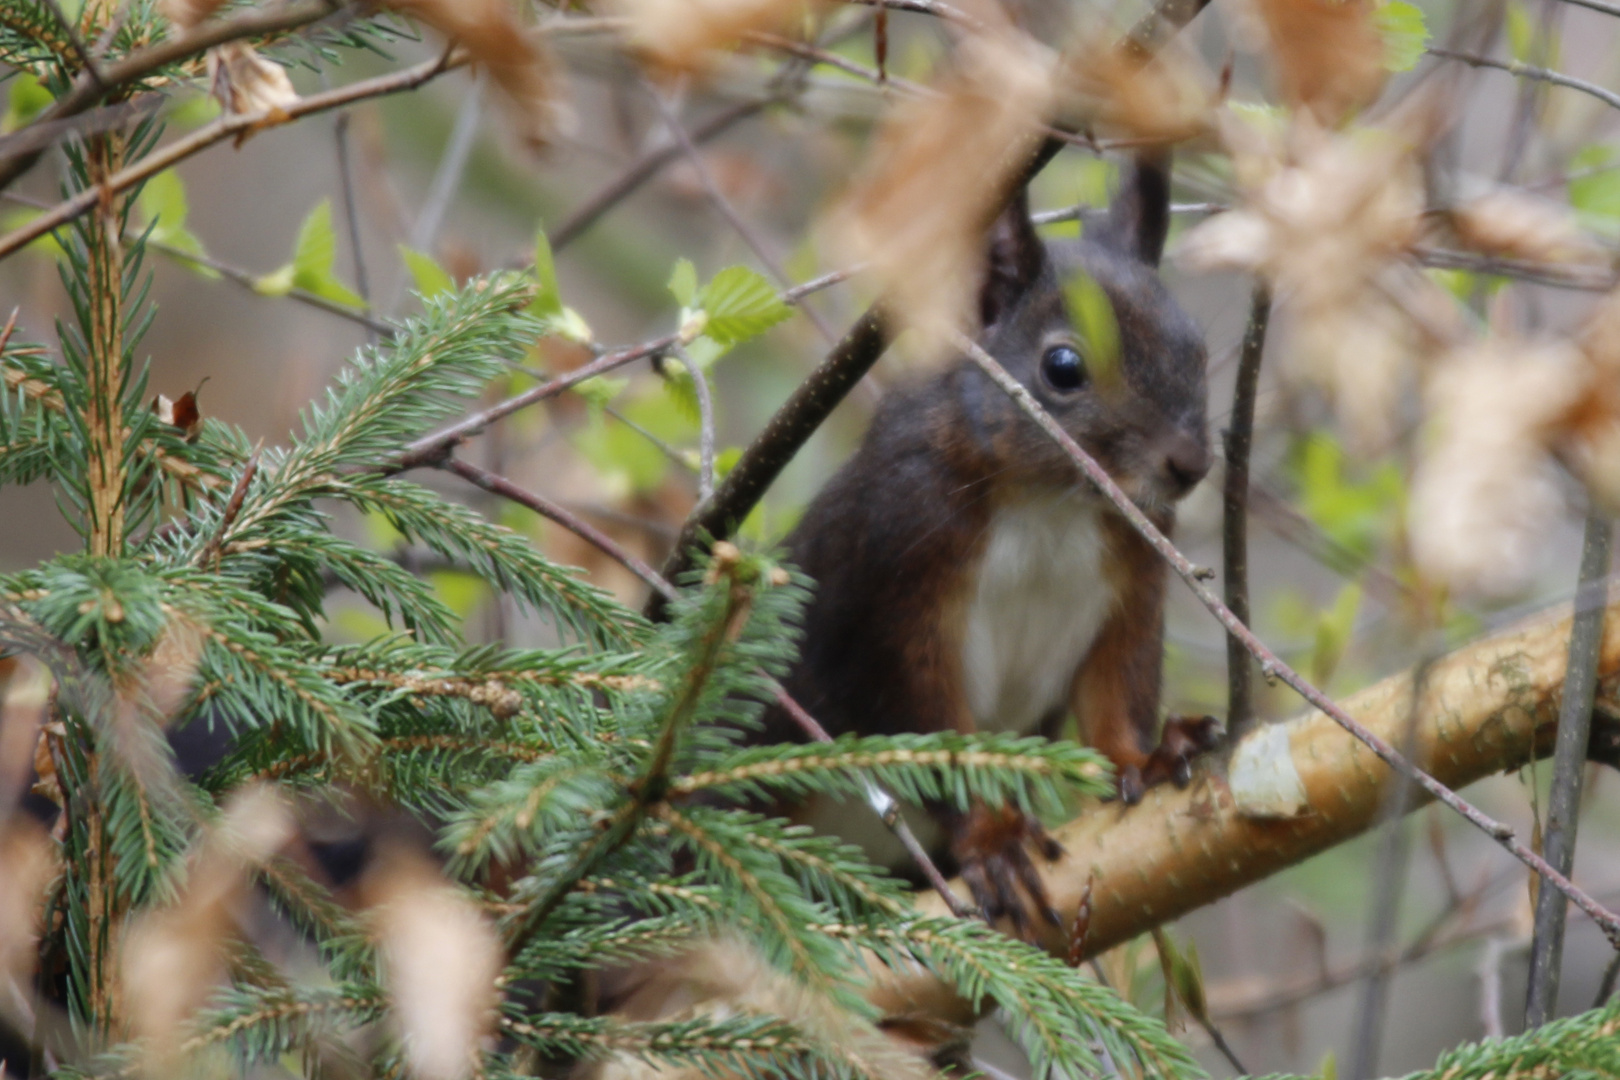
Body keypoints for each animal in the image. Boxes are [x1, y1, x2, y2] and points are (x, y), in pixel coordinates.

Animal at [764, 156, 1218, 932]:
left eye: (1199, 348)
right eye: (1062, 368)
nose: (1190, 464)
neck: (1050, 504)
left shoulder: (1132, 588)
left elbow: (1115, 693)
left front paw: (1150, 756)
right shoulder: (896, 586)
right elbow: (926, 731)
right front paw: (994, 842)